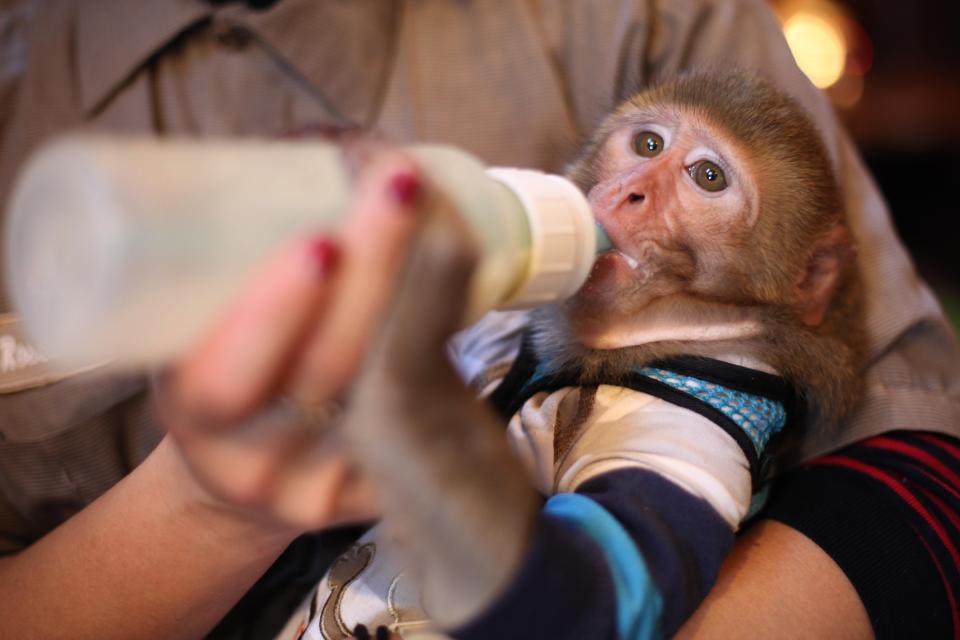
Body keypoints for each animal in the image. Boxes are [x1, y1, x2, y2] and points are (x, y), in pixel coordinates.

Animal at [288, 71, 868, 640]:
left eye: (708, 177)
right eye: (648, 144)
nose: (630, 192)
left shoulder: (699, 418)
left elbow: (598, 593)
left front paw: (408, 284)